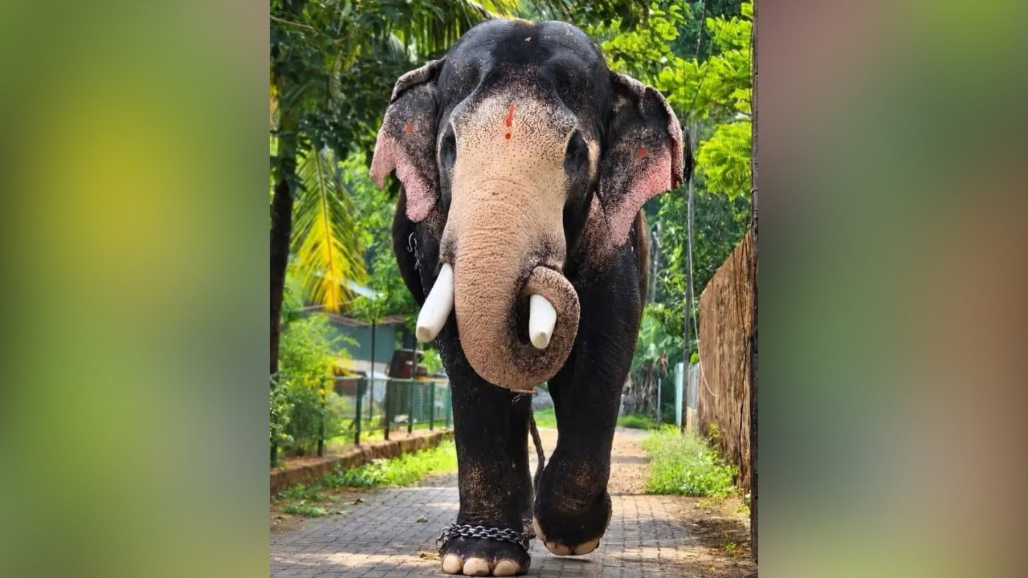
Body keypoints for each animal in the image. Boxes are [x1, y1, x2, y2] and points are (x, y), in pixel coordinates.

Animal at [370, 20, 689, 577]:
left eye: (575, 151)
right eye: (449, 145)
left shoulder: (614, 241)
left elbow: (602, 351)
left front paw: (570, 533)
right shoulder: (434, 237)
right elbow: (467, 363)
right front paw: (479, 559)